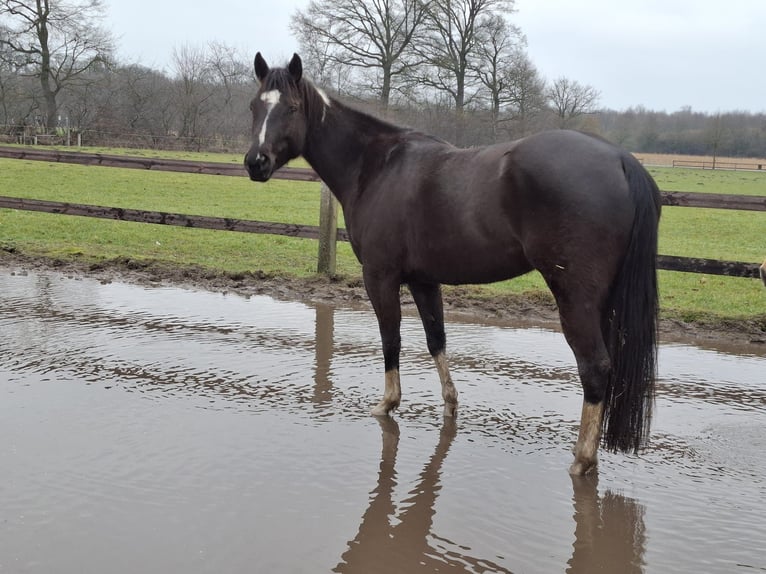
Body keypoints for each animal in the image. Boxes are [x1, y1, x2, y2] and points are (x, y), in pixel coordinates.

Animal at [244, 53, 661, 476]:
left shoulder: (380, 277)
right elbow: (436, 340)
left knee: (595, 368)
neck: (376, 166)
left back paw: (581, 460)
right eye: (255, 106)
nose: (255, 163)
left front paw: (387, 404)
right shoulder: (423, 281)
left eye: (292, 108)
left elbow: (391, 339)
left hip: (575, 298)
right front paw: (450, 406)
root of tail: (621, 160)